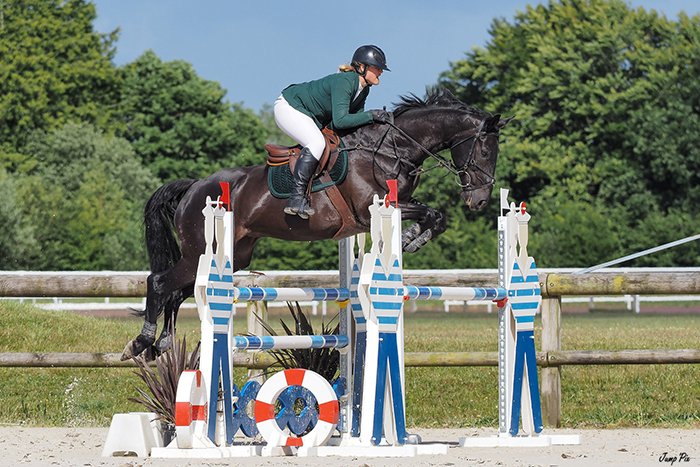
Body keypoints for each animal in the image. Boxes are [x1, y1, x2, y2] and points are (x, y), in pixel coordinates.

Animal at [120, 91, 516, 362]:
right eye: (484, 150)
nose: (480, 201)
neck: (391, 150)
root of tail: (193, 187)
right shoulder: (372, 208)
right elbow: (431, 214)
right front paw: (409, 239)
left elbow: (436, 217)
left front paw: (410, 241)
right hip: (200, 253)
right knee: (159, 283)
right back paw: (141, 341)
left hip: (230, 255)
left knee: (177, 293)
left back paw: (163, 345)